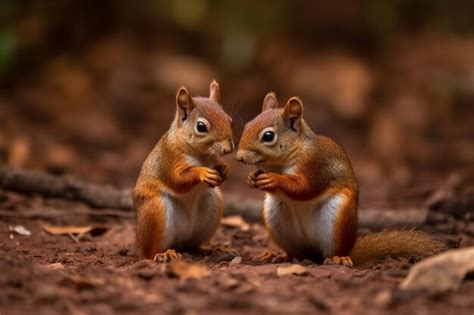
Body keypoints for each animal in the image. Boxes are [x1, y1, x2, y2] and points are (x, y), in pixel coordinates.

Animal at [133, 81, 233, 262]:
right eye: (201, 127)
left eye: (230, 120)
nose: (229, 149)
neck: (202, 156)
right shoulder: (170, 158)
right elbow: (177, 180)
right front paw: (202, 173)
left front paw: (224, 168)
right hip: (155, 210)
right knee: (149, 254)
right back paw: (163, 254)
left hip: (212, 207)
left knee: (190, 245)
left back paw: (211, 249)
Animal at [235, 93, 446, 266]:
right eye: (247, 126)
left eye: (268, 136)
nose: (239, 157)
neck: (282, 161)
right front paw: (251, 178)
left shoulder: (316, 165)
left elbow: (305, 188)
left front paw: (274, 179)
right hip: (276, 219)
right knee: (297, 254)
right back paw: (277, 256)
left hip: (338, 217)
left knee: (331, 251)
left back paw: (338, 258)